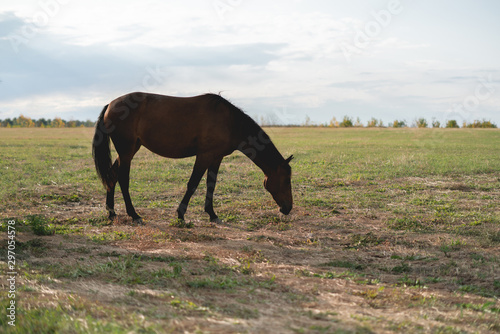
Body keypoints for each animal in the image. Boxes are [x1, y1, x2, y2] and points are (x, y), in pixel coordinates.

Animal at [93, 92, 292, 224]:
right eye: (285, 180)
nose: (288, 208)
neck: (229, 122)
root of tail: (110, 104)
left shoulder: (216, 157)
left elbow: (211, 185)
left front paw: (212, 214)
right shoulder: (204, 156)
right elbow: (193, 184)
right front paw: (181, 214)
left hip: (130, 150)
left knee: (112, 175)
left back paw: (111, 212)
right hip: (126, 151)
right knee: (122, 179)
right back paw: (134, 215)